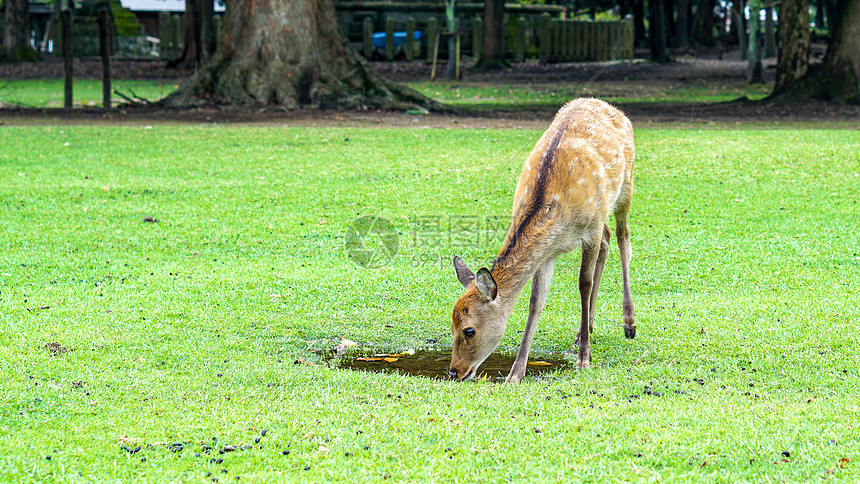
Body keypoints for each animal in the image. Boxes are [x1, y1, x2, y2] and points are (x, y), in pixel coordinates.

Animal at [446, 98, 636, 384]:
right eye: (451, 324)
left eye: (469, 330)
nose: (454, 371)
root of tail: (610, 107)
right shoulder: (548, 252)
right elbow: (536, 301)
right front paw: (516, 373)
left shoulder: (589, 228)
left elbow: (584, 284)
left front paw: (584, 359)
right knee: (608, 237)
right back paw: (586, 328)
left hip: (625, 186)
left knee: (623, 237)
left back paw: (628, 323)